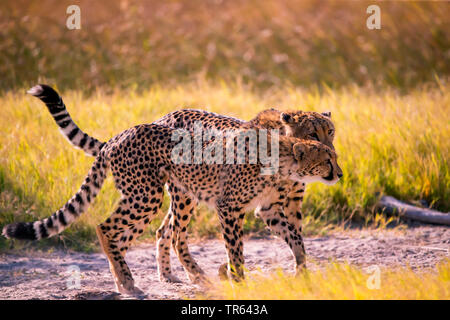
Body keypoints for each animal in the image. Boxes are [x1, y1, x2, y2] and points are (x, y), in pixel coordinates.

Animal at [2, 85, 342, 296]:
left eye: (331, 133)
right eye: (315, 135)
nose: (339, 171)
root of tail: (121, 134)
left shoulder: (272, 207)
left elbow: (296, 239)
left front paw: (303, 276)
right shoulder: (230, 207)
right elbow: (236, 249)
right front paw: (237, 279)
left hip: (163, 196)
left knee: (145, 234)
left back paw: (138, 279)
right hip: (152, 195)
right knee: (120, 229)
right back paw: (140, 280)